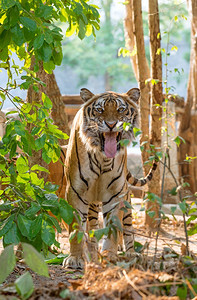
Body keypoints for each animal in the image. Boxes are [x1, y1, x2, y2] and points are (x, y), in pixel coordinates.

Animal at [63, 88, 157, 268]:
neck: (102, 158)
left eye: (120, 110)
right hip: (93, 202)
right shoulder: (76, 192)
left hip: (126, 198)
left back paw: (131, 253)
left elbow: (114, 229)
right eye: (100, 110)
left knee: (127, 228)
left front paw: (109, 256)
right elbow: (76, 229)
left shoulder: (116, 194)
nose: (111, 125)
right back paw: (92, 249)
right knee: (92, 225)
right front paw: (75, 258)